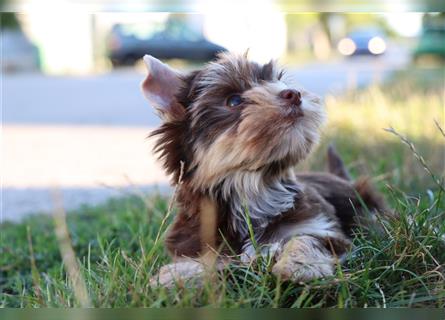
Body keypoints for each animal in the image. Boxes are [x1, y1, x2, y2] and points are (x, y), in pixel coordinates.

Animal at [142, 52, 386, 284]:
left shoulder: (320, 227)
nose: (293, 93)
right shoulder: (203, 243)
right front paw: (174, 278)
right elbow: (203, 262)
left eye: (277, 81)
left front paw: (299, 265)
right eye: (234, 101)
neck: (254, 188)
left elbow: (306, 238)